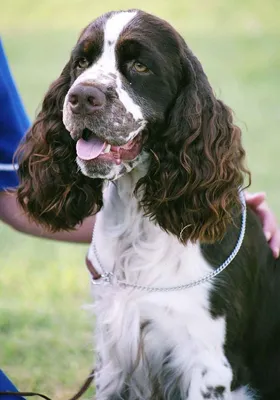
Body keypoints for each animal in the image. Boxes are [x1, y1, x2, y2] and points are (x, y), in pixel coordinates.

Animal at [17, 9, 280, 400]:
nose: (81, 96)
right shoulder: (113, 358)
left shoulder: (207, 364)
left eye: (140, 66)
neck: (138, 219)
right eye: (82, 62)